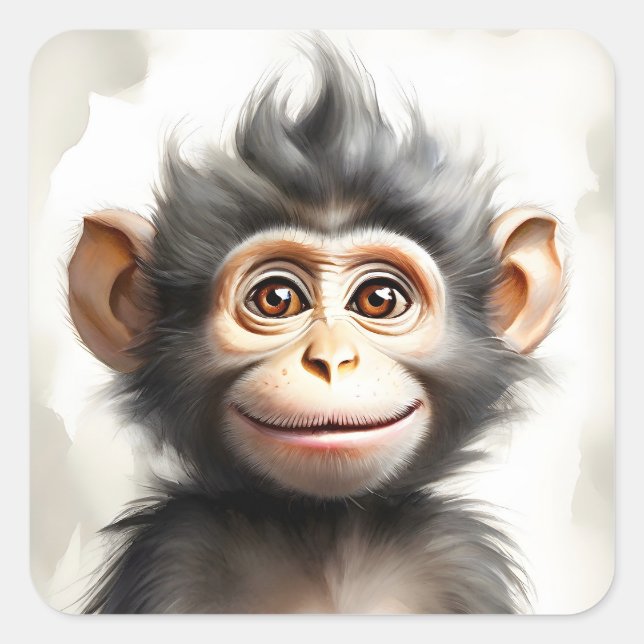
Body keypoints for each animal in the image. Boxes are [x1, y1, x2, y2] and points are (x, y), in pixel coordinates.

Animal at [66, 37, 564, 614]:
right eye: (277, 299)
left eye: (379, 299)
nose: (330, 359)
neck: (326, 528)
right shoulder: (170, 561)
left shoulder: (459, 563)